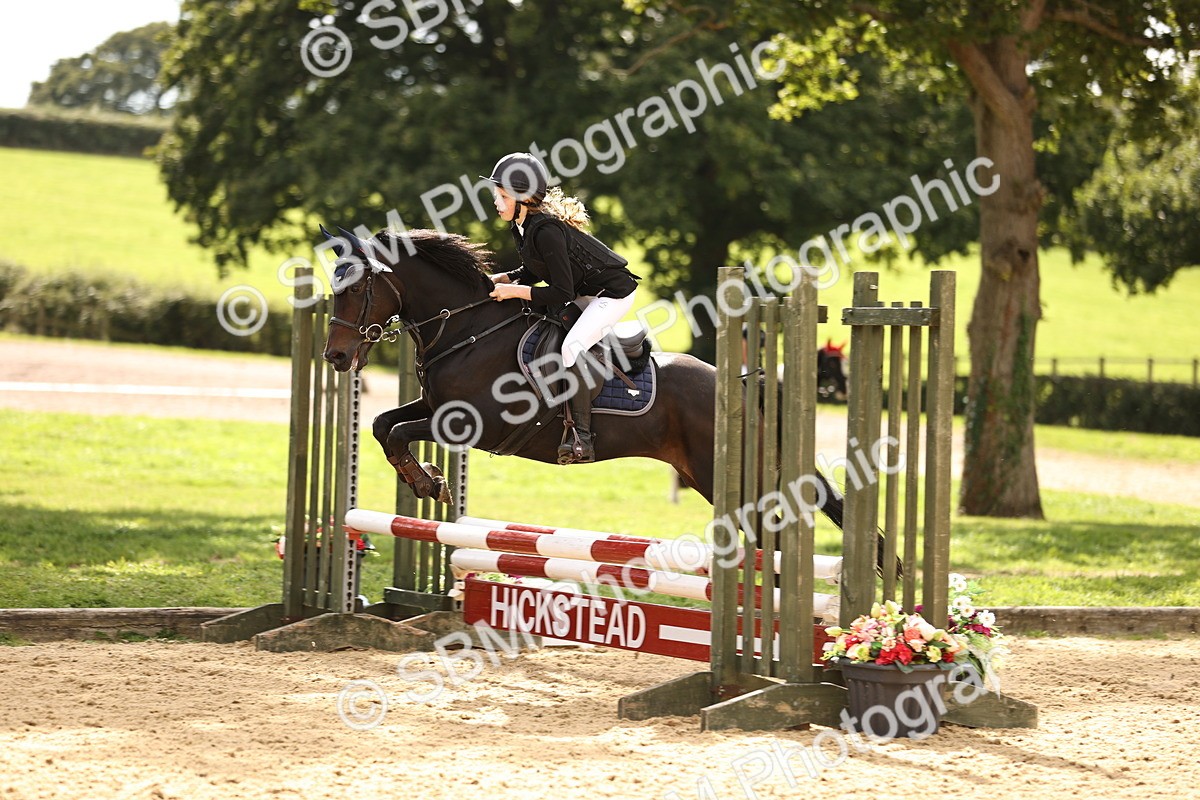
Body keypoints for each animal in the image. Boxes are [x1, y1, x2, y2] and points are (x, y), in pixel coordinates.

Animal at [319, 226, 849, 533]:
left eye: (358, 289)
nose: (336, 356)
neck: (468, 329)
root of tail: (743, 386)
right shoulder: (435, 408)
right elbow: (384, 426)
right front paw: (430, 480)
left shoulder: (474, 423)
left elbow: (398, 433)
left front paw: (430, 484)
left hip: (731, 483)